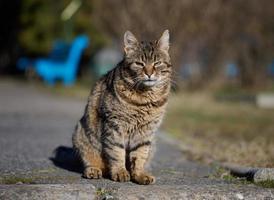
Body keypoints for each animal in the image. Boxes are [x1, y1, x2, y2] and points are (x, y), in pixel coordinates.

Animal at [71, 29, 172, 184]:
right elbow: (116, 151)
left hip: (153, 143)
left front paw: (139, 174)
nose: (149, 73)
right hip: (80, 133)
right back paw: (94, 170)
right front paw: (120, 172)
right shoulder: (115, 125)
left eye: (157, 63)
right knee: (92, 161)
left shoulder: (146, 131)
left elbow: (140, 154)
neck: (144, 99)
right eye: (139, 64)